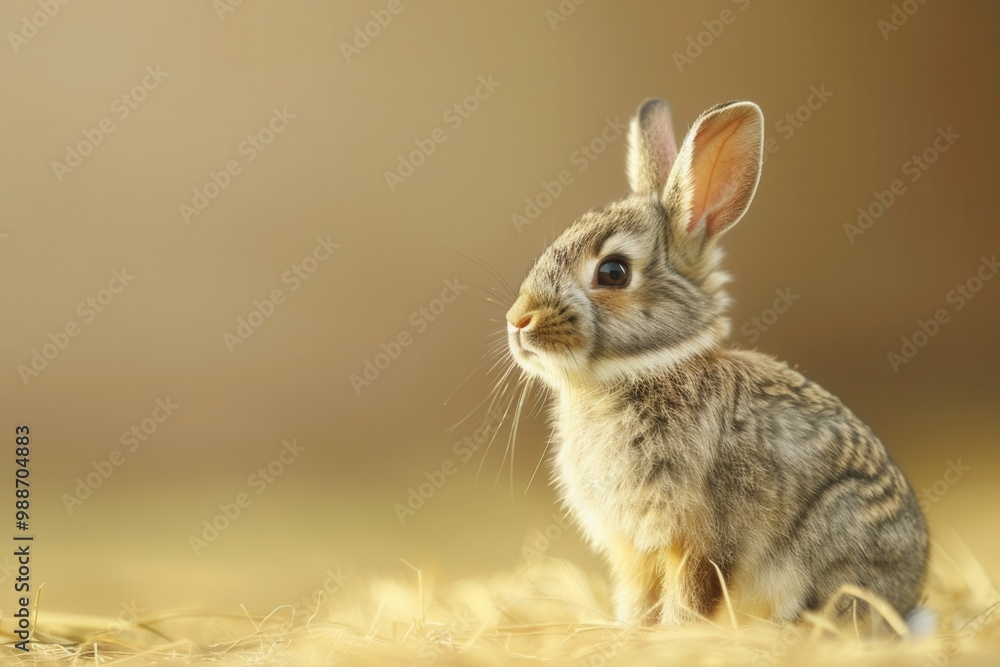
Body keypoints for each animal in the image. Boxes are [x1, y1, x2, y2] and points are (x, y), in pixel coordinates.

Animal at [504, 98, 929, 627]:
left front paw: (675, 636)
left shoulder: (699, 537)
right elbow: (639, 599)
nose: (518, 321)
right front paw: (631, 633)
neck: (643, 370)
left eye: (613, 272)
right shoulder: (634, 548)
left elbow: (689, 595)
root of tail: (909, 594)